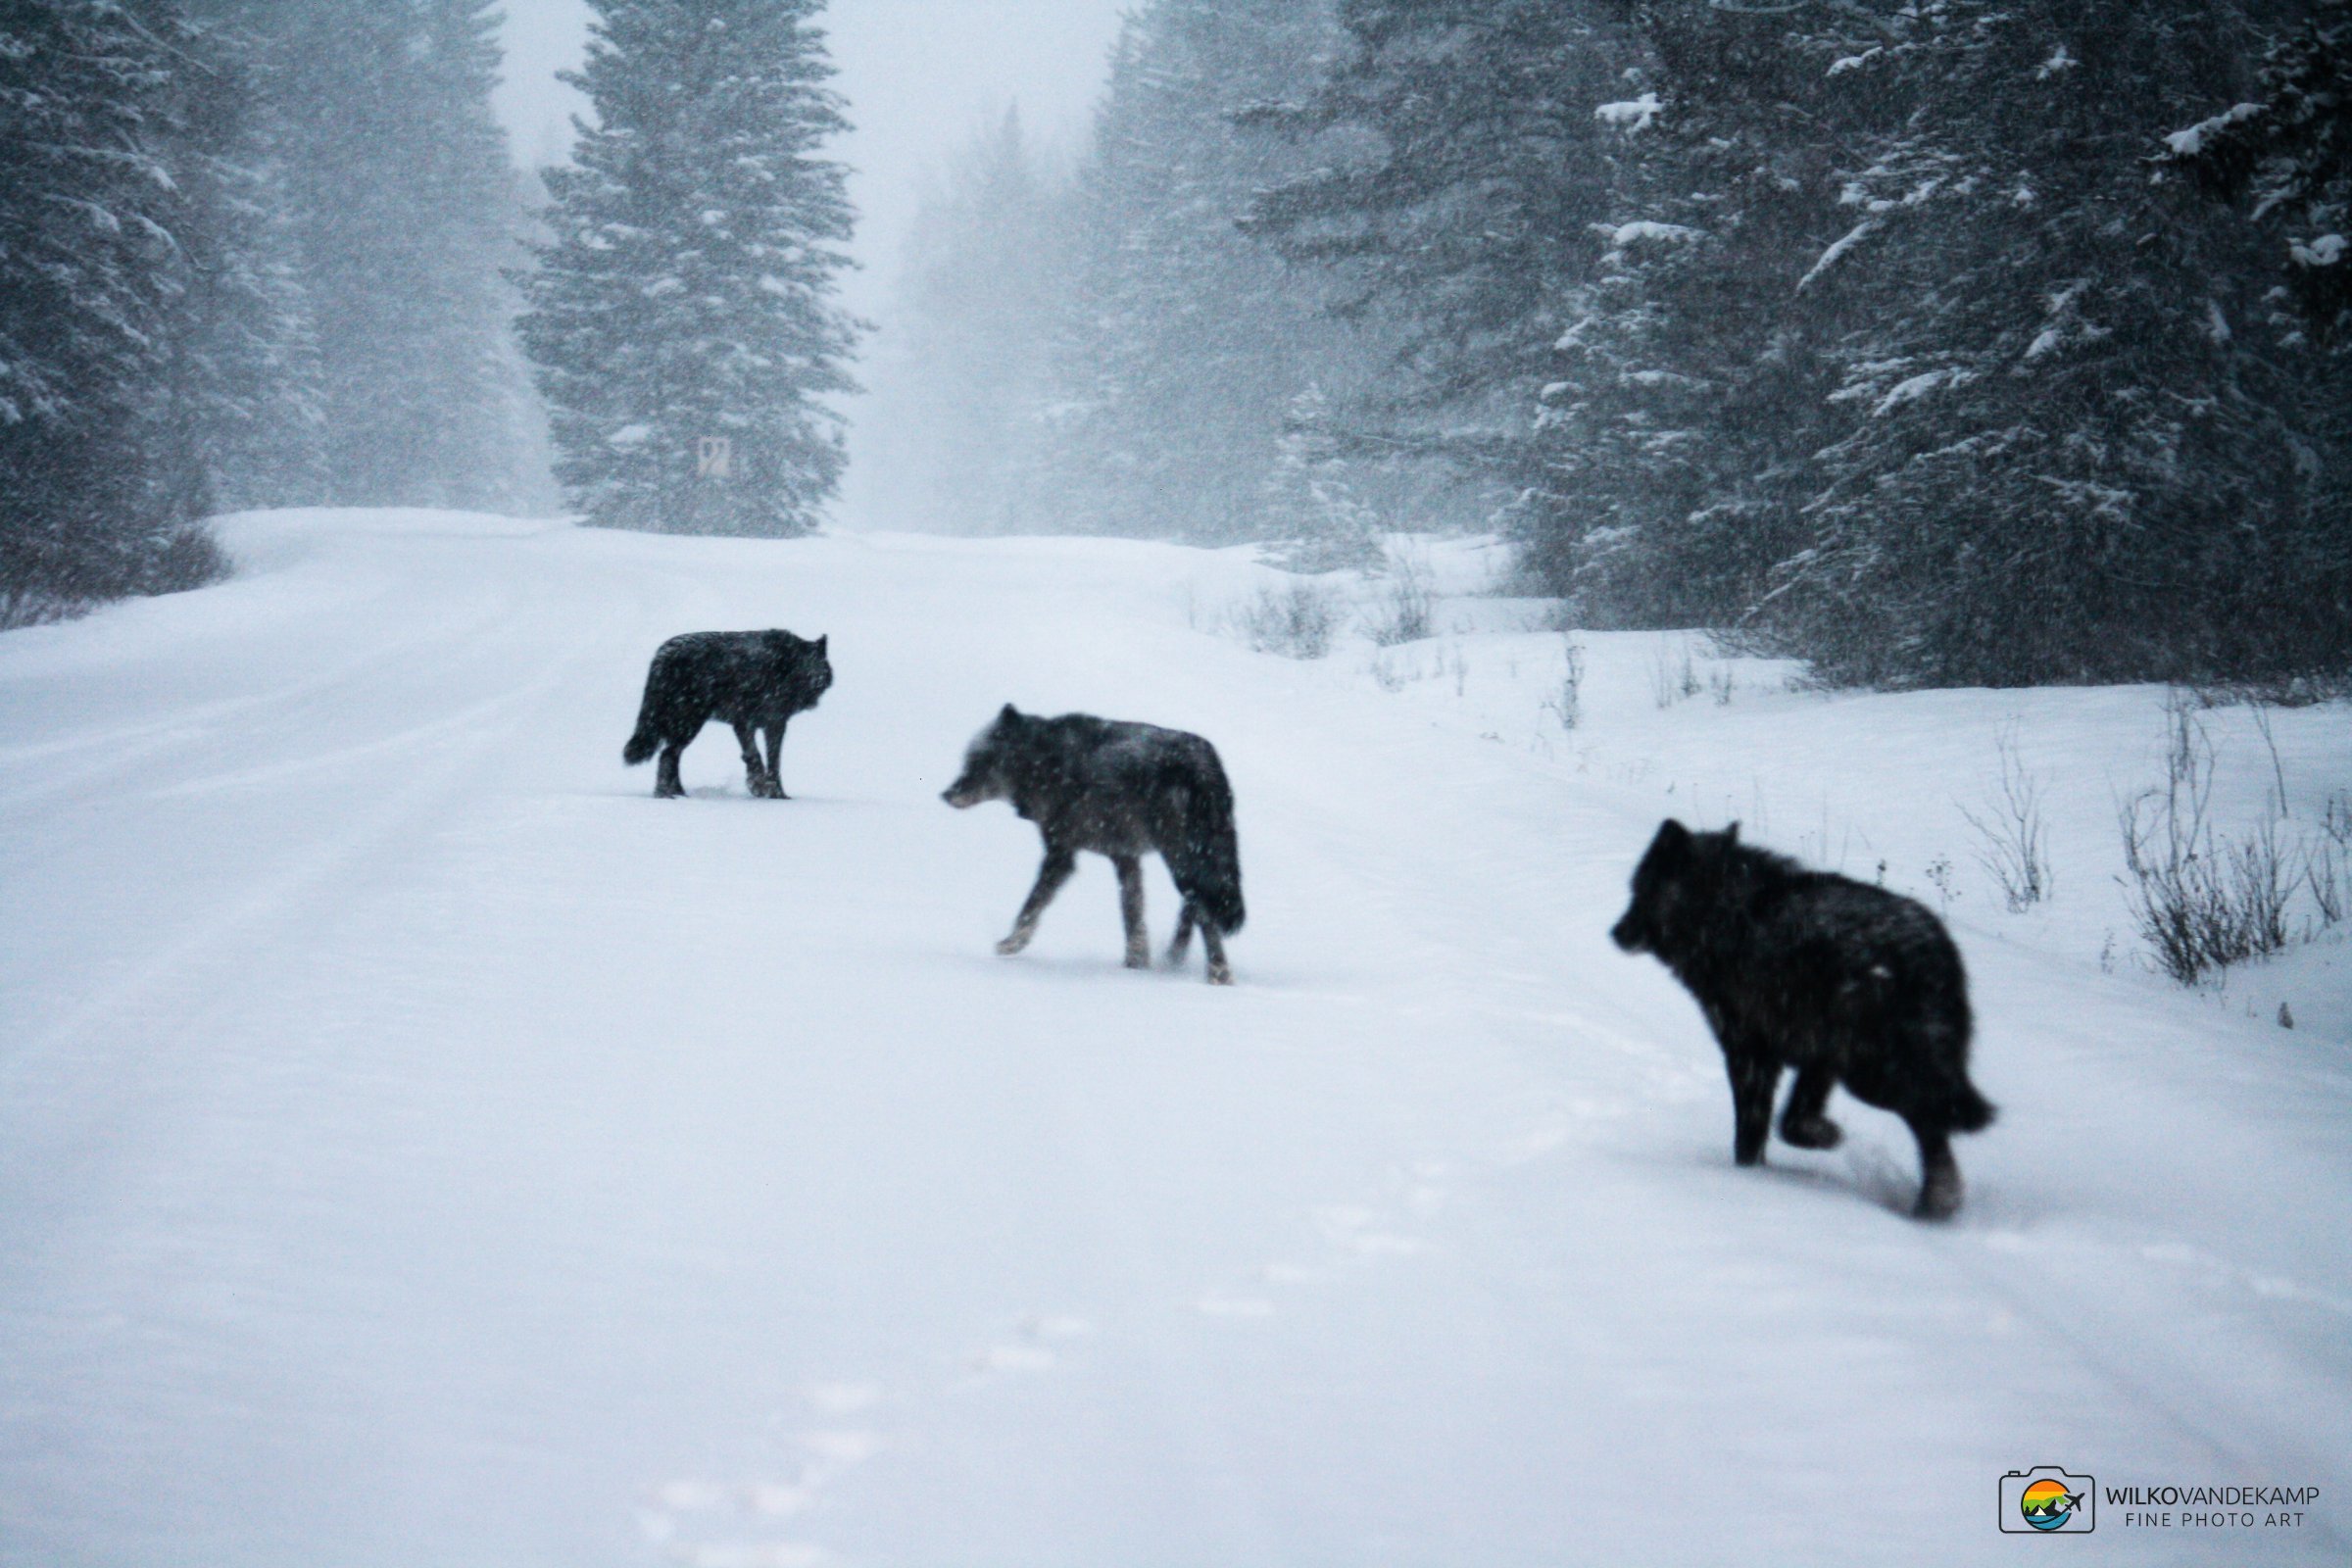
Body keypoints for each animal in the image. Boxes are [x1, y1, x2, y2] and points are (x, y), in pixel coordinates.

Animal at [622, 630, 832, 799]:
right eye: (802, 666)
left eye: (818, 666)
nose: (816, 682)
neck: (777, 671)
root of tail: (662, 653)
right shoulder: (744, 722)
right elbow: (755, 756)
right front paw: (759, 787)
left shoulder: (774, 724)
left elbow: (773, 762)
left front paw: (777, 795)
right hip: (689, 725)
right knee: (667, 756)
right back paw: (664, 795)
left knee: (670, 756)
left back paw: (678, 793)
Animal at [942, 705, 1245, 984]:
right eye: (967, 761)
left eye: (976, 763)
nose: (945, 794)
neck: (1043, 759)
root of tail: (1206, 761)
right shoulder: (1125, 858)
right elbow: (1133, 916)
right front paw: (1135, 966)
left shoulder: (1060, 856)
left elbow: (1031, 906)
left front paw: (1011, 944)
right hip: (1191, 861)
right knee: (1195, 905)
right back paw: (1174, 959)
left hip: (1180, 860)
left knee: (1203, 911)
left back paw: (1217, 973)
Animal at [1609, 819, 1995, 1219]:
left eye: (1638, 888)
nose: (1615, 932)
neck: (1725, 914)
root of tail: (1929, 952)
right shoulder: (1818, 1056)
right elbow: (1790, 1118)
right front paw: (1814, 1138)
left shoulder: (1751, 1054)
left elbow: (1754, 1132)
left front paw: (1759, 1172)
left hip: (1872, 1077)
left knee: (1928, 1122)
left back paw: (1929, 1208)